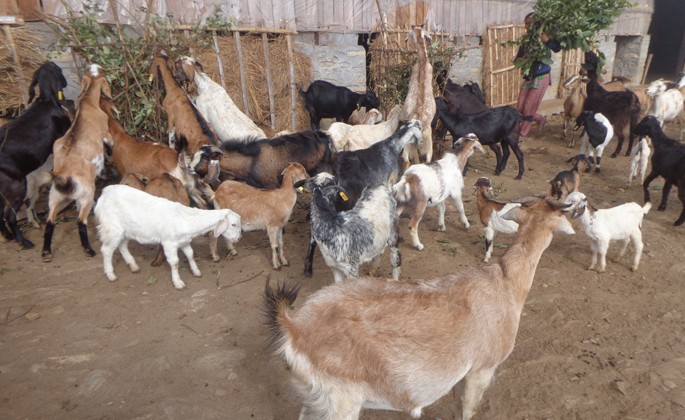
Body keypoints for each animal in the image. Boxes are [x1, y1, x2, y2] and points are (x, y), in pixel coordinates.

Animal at [41, 65, 112, 262]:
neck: (88, 103)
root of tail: (64, 177)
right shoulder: (106, 133)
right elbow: (110, 144)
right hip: (87, 194)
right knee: (81, 221)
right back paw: (89, 250)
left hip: (55, 197)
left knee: (50, 221)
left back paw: (46, 252)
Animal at [94, 184, 241, 290]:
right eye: (233, 224)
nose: (238, 239)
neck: (186, 220)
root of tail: (105, 192)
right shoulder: (169, 242)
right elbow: (174, 262)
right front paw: (178, 282)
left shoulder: (184, 241)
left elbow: (190, 255)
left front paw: (196, 271)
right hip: (112, 227)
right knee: (106, 250)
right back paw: (111, 275)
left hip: (125, 230)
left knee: (122, 245)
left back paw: (133, 266)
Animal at [264, 196, 574, 419]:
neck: (506, 283)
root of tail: (293, 325)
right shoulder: (482, 368)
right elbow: (468, 411)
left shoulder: (464, 373)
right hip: (341, 399)